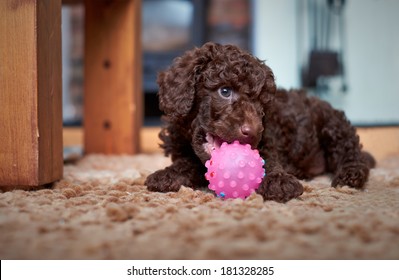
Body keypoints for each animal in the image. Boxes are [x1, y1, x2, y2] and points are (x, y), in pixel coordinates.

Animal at [145, 42, 376, 201]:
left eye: (261, 103)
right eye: (225, 91)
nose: (253, 132)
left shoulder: (269, 140)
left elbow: (267, 161)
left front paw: (278, 181)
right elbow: (186, 163)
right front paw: (167, 175)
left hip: (333, 125)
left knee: (350, 153)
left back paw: (350, 175)